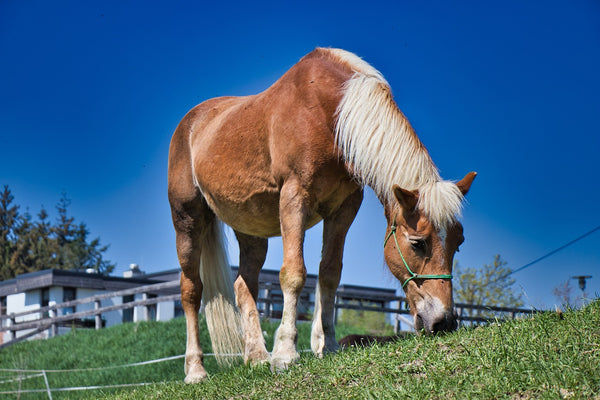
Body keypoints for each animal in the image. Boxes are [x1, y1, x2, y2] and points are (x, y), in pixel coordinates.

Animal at [166, 47, 476, 384]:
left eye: (458, 244)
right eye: (418, 243)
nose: (444, 322)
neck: (331, 112)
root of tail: (190, 123)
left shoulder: (344, 207)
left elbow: (329, 273)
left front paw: (326, 345)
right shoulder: (294, 197)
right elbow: (294, 274)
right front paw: (285, 353)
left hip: (251, 232)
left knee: (243, 287)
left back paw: (257, 356)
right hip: (187, 221)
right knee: (191, 291)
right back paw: (196, 369)